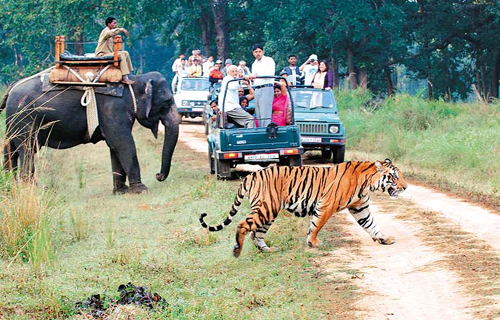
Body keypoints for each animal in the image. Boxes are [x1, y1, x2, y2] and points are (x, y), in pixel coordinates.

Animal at [0, 71, 180, 194]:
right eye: (167, 102)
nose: (158, 175)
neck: (134, 79)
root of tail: (11, 89)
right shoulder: (114, 108)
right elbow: (123, 143)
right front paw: (141, 190)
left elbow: (114, 146)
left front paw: (121, 191)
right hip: (25, 119)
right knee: (27, 150)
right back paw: (33, 190)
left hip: (13, 122)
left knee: (10, 150)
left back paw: (11, 187)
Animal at [199, 159, 406, 258]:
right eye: (394, 177)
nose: (405, 187)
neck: (367, 183)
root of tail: (251, 175)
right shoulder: (327, 204)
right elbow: (317, 224)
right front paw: (313, 242)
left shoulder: (360, 208)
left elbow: (371, 225)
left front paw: (384, 238)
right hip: (266, 208)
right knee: (243, 226)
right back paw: (236, 250)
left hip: (268, 212)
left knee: (256, 233)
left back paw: (268, 250)